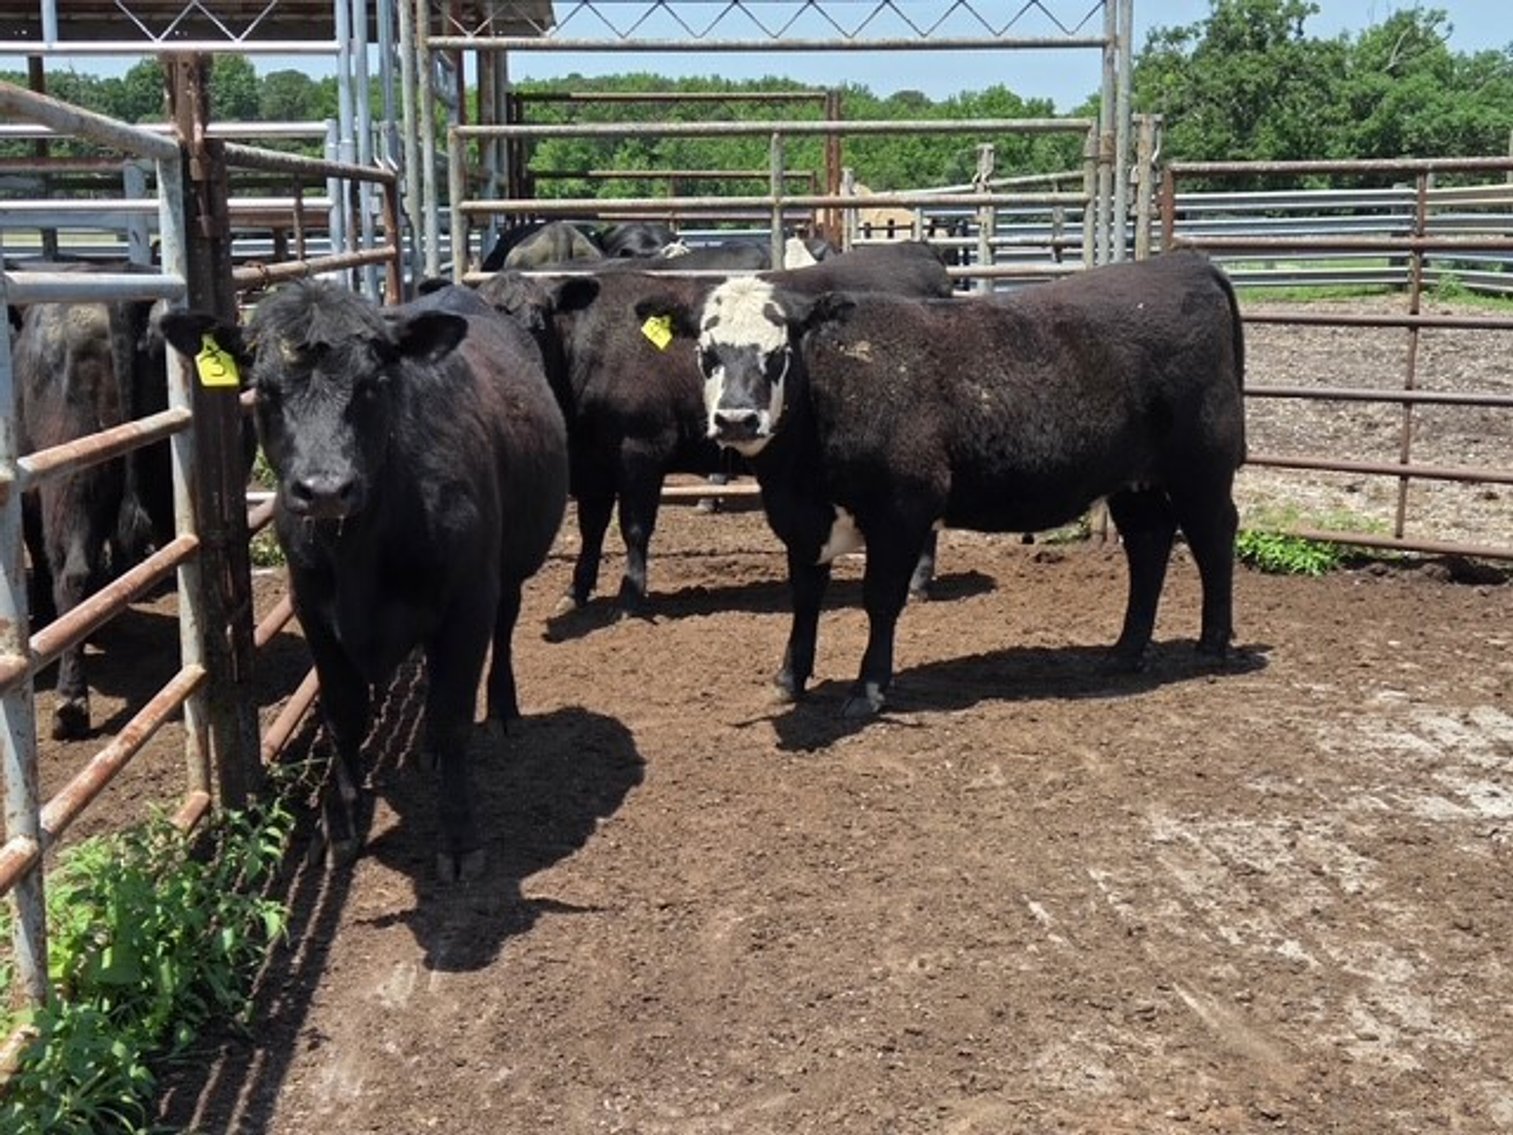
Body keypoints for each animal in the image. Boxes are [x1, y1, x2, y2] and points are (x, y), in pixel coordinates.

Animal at [161, 281, 569, 880]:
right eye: (263, 389)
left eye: (374, 384)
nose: (325, 489)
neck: (362, 549)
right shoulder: (314, 610)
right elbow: (344, 717)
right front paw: (342, 824)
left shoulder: (467, 602)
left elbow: (453, 716)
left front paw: (460, 838)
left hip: (511, 568)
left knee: (504, 628)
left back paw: (501, 709)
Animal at [480, 241, 955, 619]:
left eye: (538, 322)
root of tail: (915, 251)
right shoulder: (592, 462)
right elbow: (591, 527)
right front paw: (575, 592)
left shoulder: (641, 449)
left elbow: (634, 527)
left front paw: (631, 598)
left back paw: (918, 582)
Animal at [636, 249, 1247, 716]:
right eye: (707, 354)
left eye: (779, 352)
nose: (737, 419)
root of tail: (1186, 263)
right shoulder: (803, 520)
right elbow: (805, 597)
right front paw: (790, 678)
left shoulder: (902, 511)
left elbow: (881, 600)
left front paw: (868, 689)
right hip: (1134, 481)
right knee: (1149, 545)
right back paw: (1125, 651)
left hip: (1203, 466)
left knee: (1214, 537)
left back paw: (1211, 646)